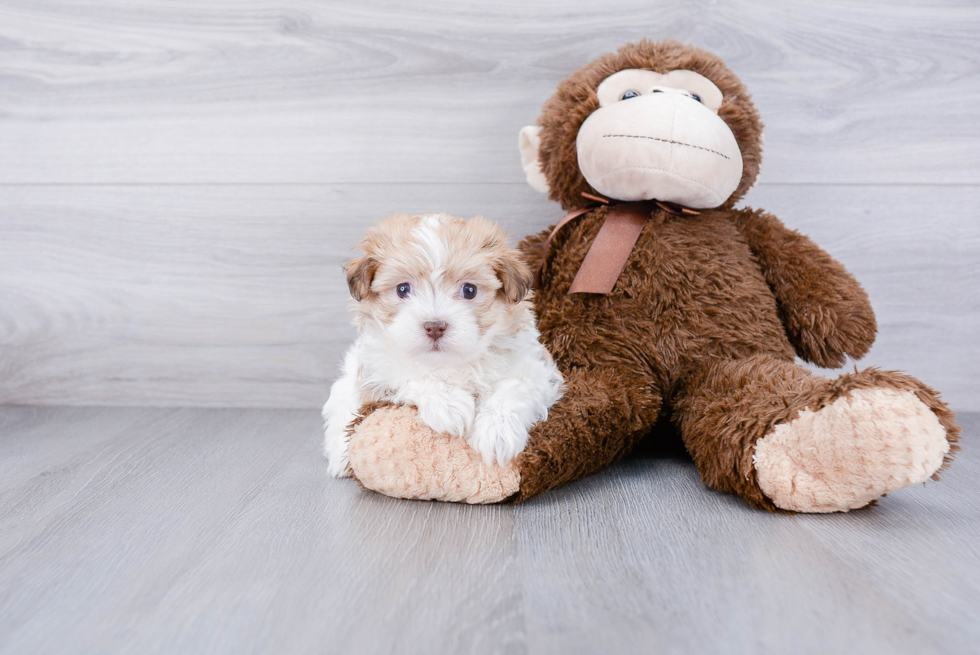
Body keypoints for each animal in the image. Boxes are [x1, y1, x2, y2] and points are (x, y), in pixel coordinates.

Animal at [326, 214, 564, 476]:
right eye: (403, 289)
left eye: (469, 290)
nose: (435, 326)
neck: (450, 363)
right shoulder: (375, 372)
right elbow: (408, 374)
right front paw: (449, 405)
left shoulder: (536, 368)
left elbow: (515, 387)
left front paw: (497, 431)